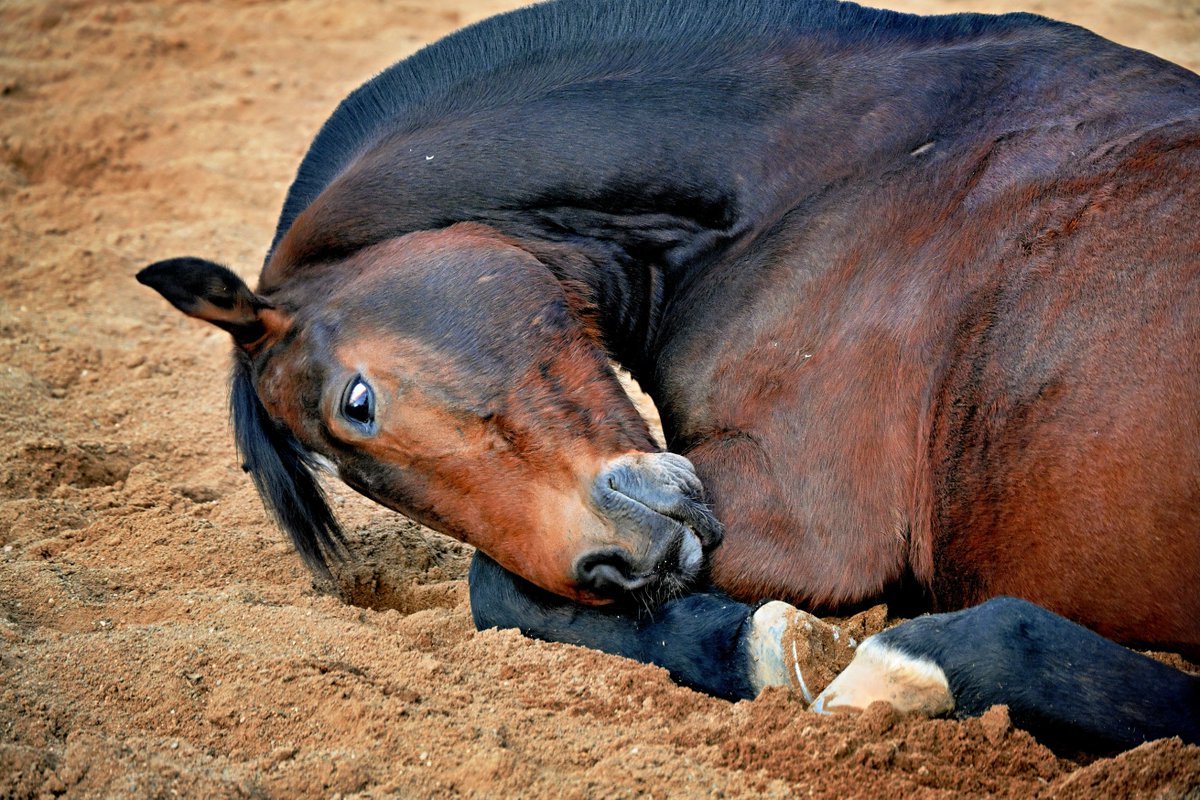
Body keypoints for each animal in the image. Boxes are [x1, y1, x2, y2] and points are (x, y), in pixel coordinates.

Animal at [137, 0, 1200, 752]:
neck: (836, 176)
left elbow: (494, 589)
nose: (614, 566)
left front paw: (762, 646)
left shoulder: (803, 520)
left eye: (357, 403)